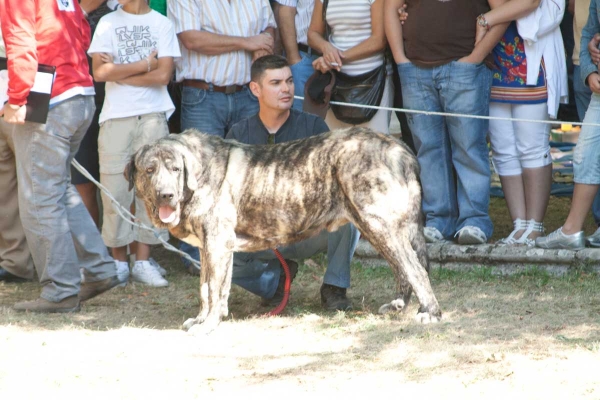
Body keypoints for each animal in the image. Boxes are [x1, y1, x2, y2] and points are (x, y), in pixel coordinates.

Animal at [125, 128, 440, 334]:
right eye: (150, 170)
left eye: (175, 169)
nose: (166, 195)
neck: (198, 177)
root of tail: (399, 147)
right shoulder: (206, 248)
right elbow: (204, 289)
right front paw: (201, 319)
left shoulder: (217, 243)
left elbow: (215, 289)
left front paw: (210, 324)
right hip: (378, 227)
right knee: (404, 267)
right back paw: (400, 304)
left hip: (377, 222)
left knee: (415, 269)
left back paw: (430, 312)